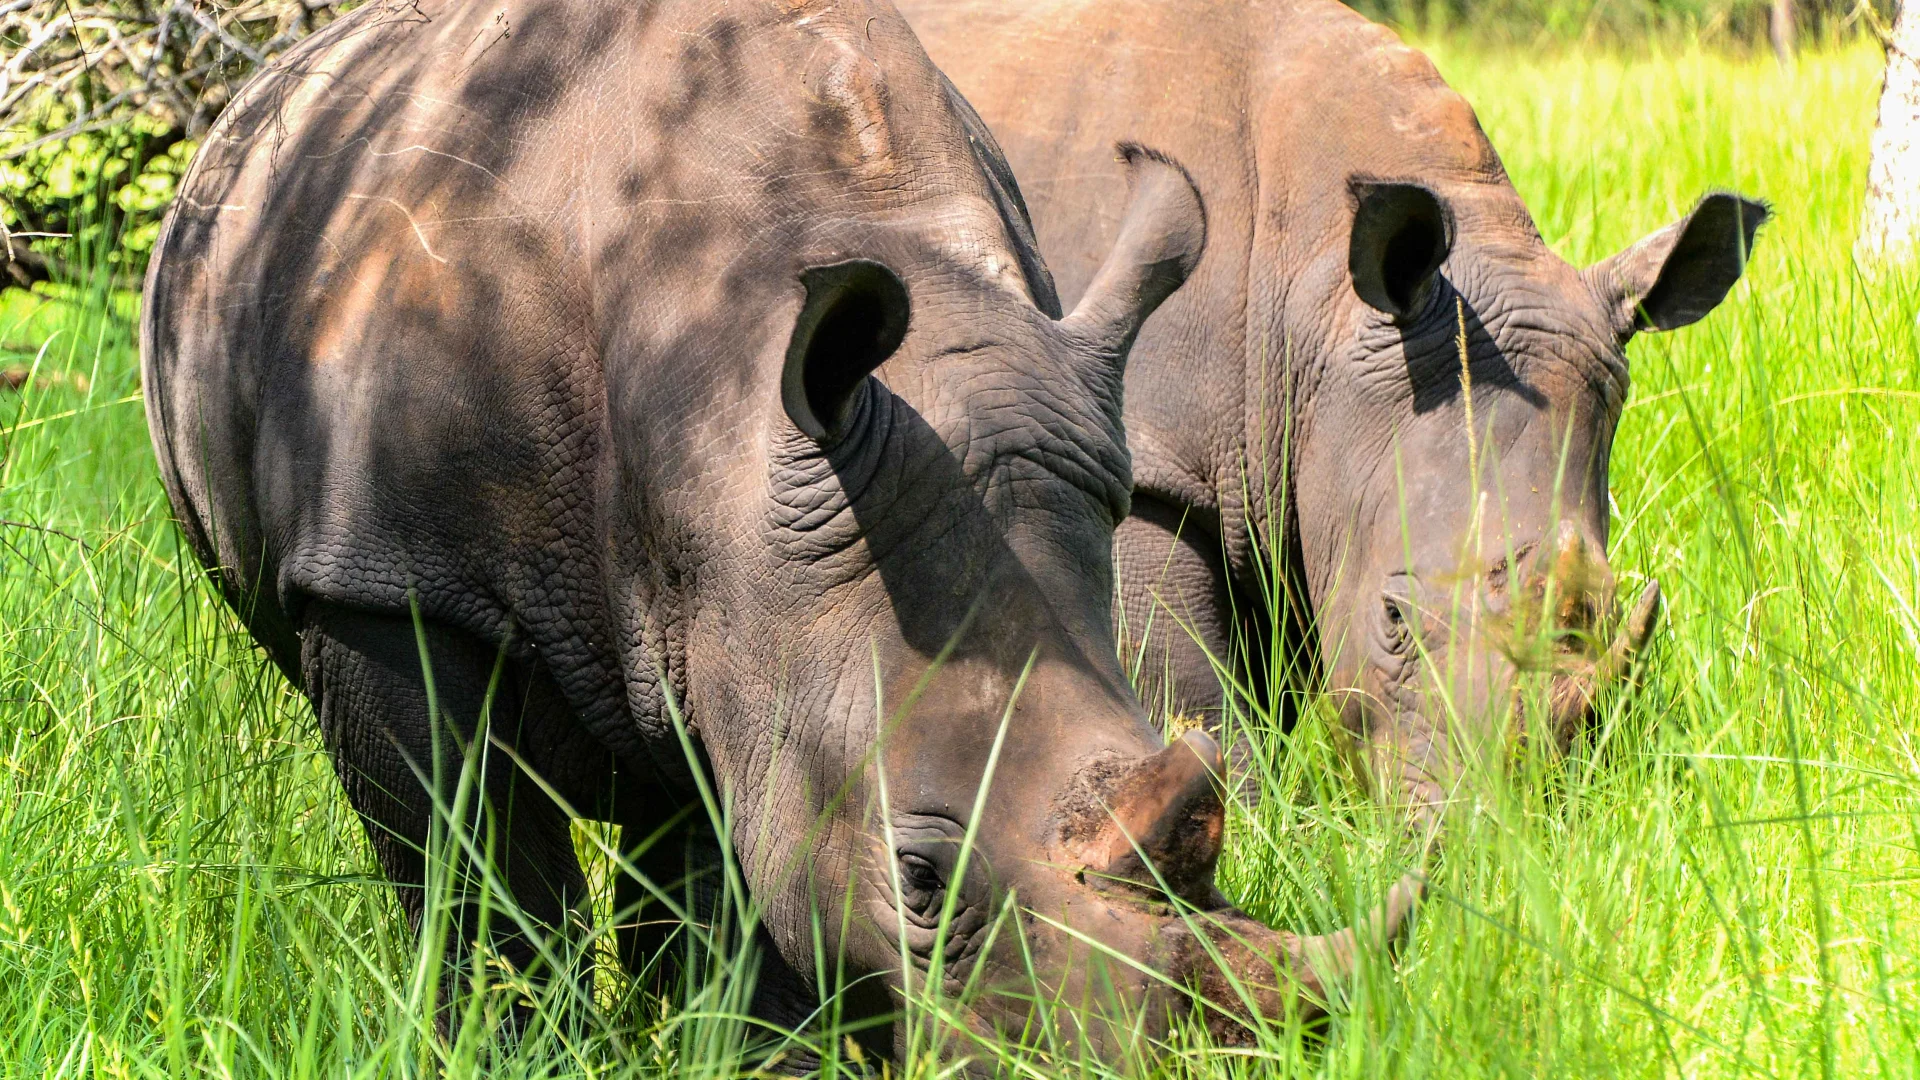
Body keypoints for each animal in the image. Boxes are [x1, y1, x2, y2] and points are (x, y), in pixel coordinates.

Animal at [141, 0, 1405, 1057]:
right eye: (919, 877)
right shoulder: (384, 572)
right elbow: (476, 876)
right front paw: (516, 1052)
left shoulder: (767, 597)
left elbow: (749, 875)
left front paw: (753, 1055)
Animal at [903, 0, 1766, 828]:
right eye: (1394, 615)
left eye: (1615, 607)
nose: (1487, 840)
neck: (1317, 301)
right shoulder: (1149, 462)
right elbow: (1194, 696)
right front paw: (1246, 838)